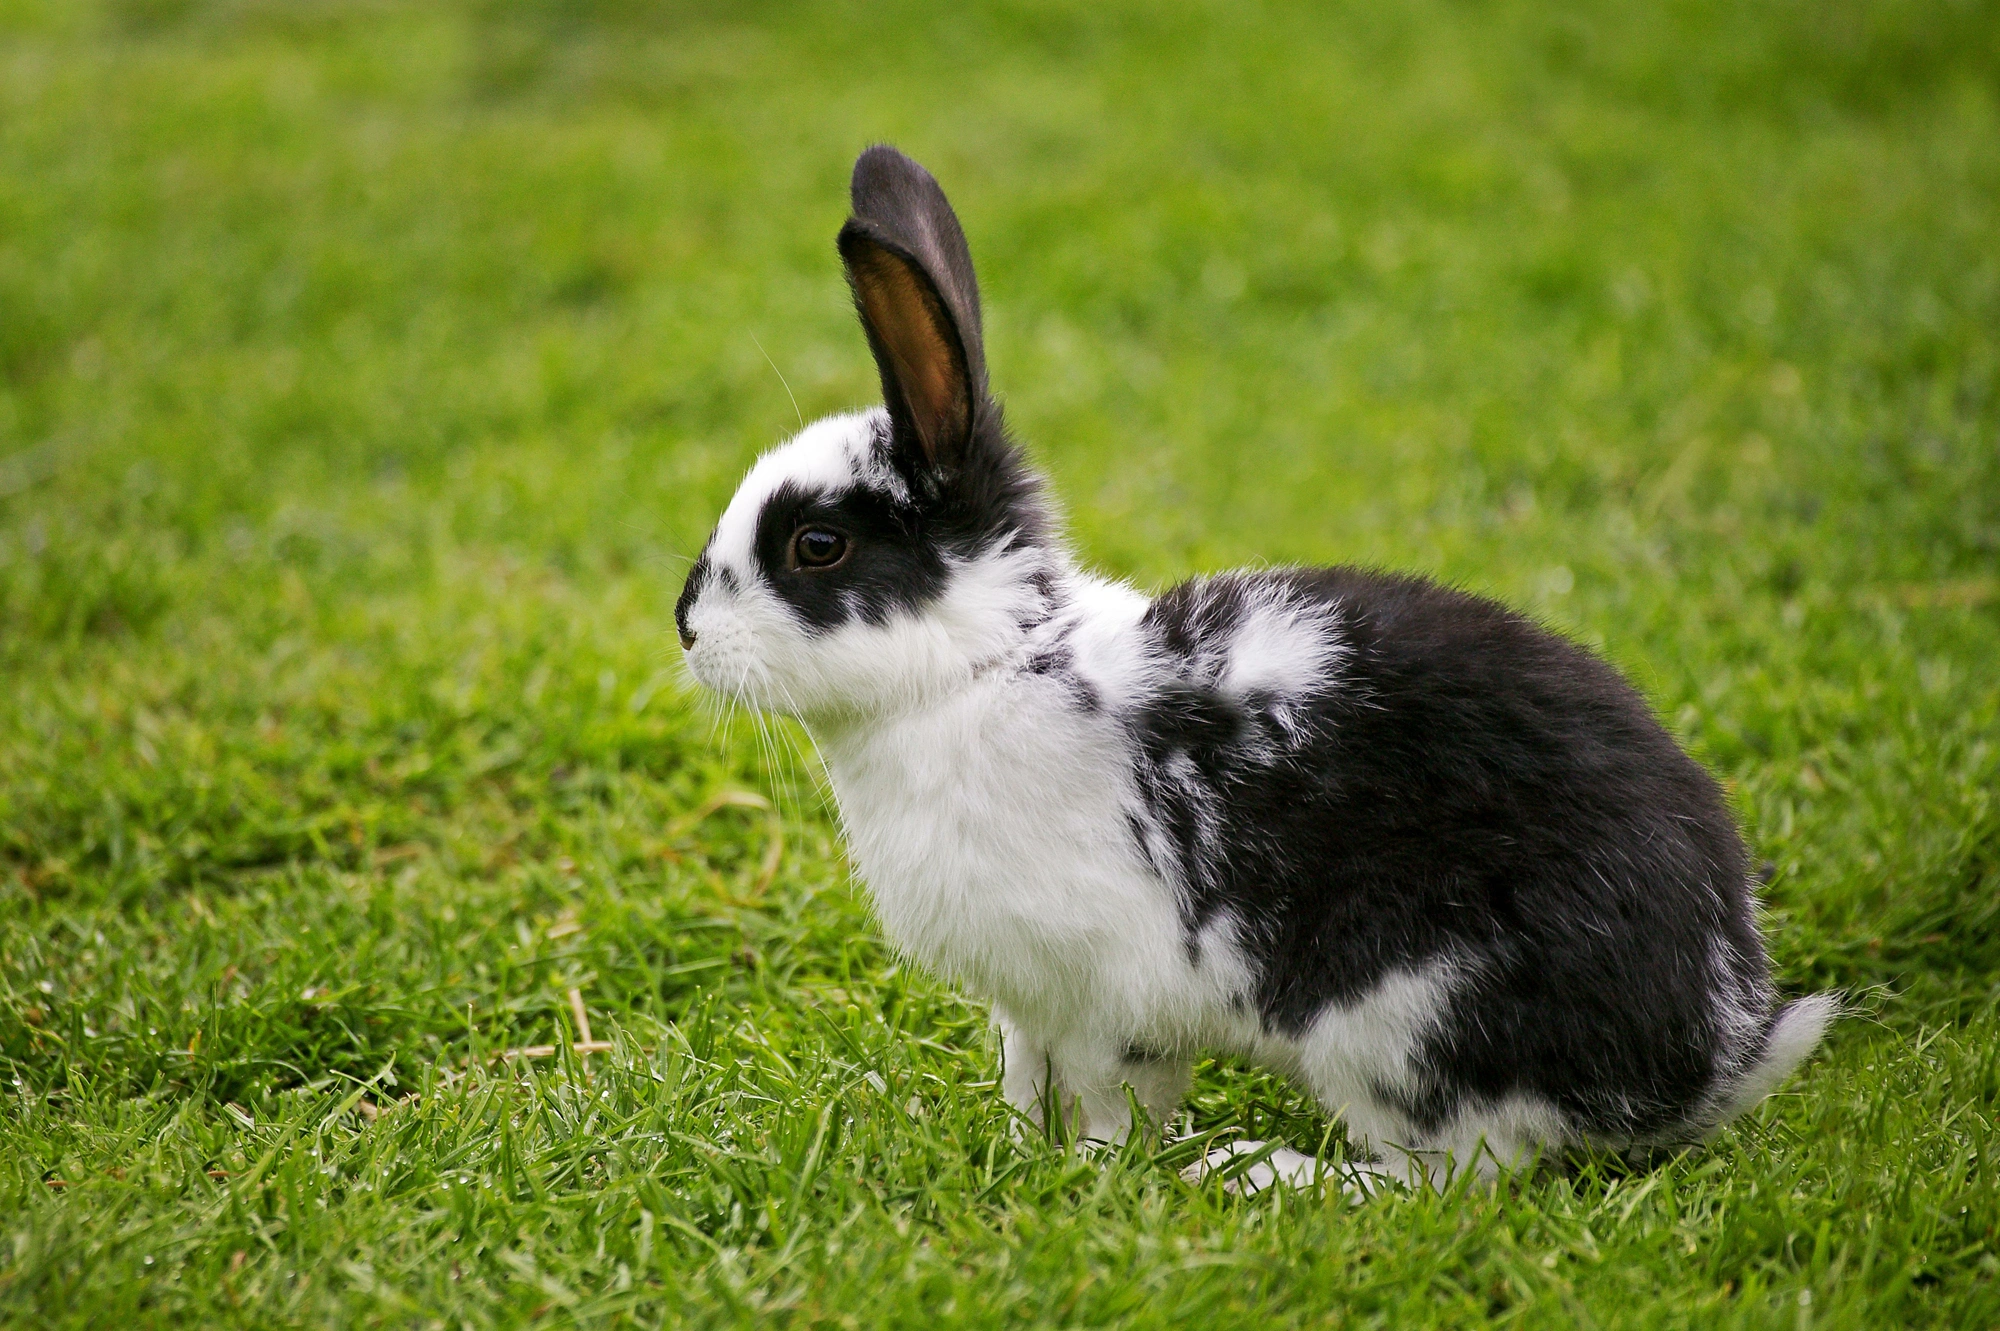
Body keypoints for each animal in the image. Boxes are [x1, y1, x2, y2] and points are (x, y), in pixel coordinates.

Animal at [675, 145, 1834, 1189]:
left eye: (816, 546)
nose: (686, 627)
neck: (991, 665)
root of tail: (1704, 1058)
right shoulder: (1028, 1000)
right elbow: (1024, 1080)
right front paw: (1015, 1154)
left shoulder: (1108, 996)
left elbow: (1110, 1100)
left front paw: (1092, 1176)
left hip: (1401, 1025)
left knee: (1450, 1175)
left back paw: (1254, 1172)